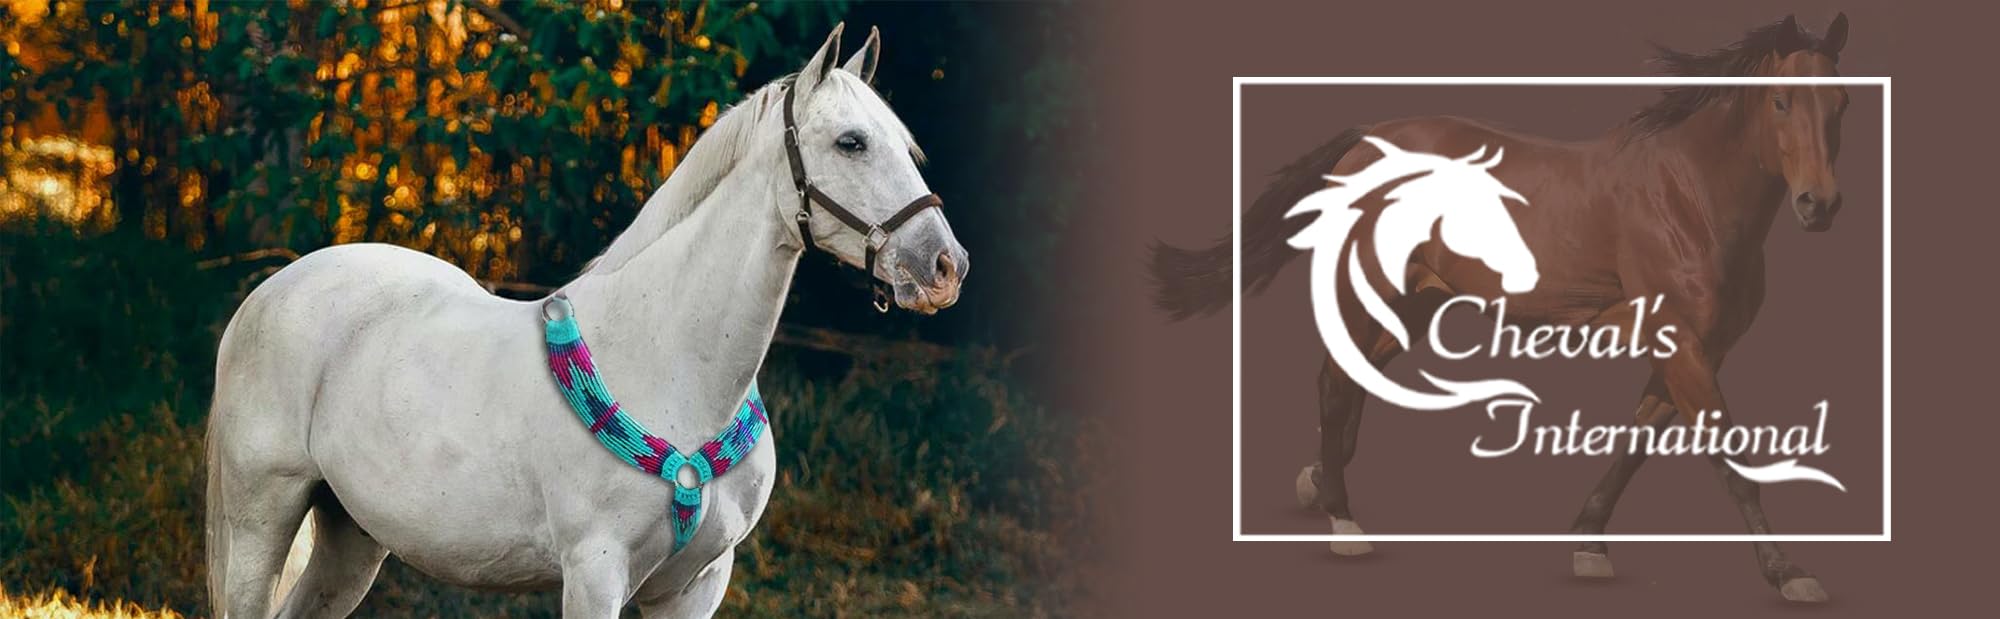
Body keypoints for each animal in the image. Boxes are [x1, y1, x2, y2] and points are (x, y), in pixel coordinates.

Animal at [205, 24, 969, 618]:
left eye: (905, 146)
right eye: (850, 142)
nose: (944, 265)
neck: (671, 362)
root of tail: (267, 292)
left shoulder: (697, 583)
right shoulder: (595, 570)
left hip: (352, 535)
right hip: (260, 519)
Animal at [1150, 14, 1852, 603]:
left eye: (1842, 101)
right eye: (1781, 100)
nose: (1819, 205)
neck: (1686, 195)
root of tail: (1368, 139)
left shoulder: (1696, 347)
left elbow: (1638, 439)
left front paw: (1589, 545)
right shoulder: (1682, 342)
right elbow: (1730, 460)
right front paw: (1790, 574)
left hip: (1415, 305)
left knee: (1358, 381)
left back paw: (1318, 482)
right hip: (1366, 294)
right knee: (1333, 385)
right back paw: (1345, 524)